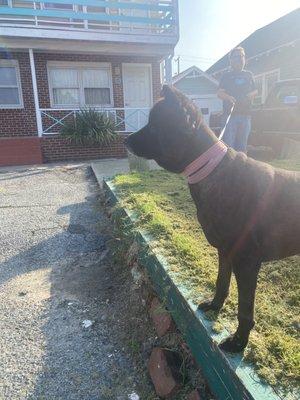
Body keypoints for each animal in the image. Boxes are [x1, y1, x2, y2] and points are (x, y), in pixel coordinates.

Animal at [125, 85, 300, 354]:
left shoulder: (246, 262)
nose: (125, 140)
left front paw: (239, 342)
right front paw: (215, 306)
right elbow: (221, 282)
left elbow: (245, 309)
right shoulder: (225, 252)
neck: (212, 170)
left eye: (154, 125)